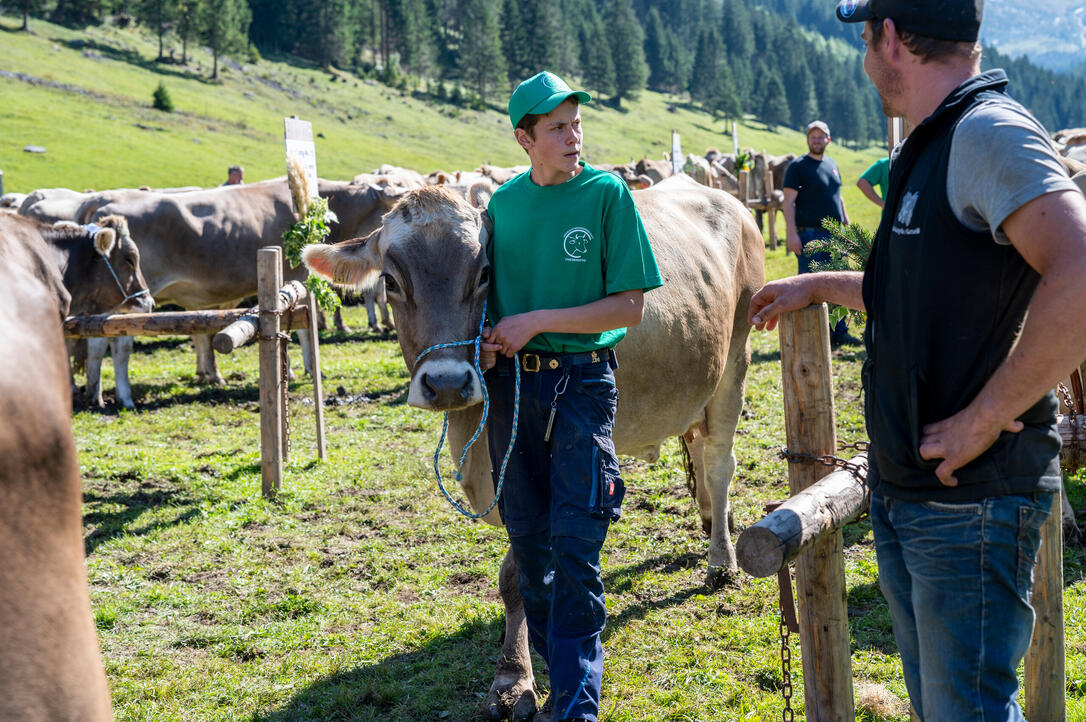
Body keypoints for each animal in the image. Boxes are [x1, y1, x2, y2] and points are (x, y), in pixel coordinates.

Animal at [304, 175, 764, 720]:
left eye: (484, 274)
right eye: (391, 282)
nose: (446, 383)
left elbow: (520, 571)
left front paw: (515, 678)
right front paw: (515, 668)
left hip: (736, 355)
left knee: (719, 461)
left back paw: (722, 561)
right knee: (697, 447)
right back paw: (714, 521)